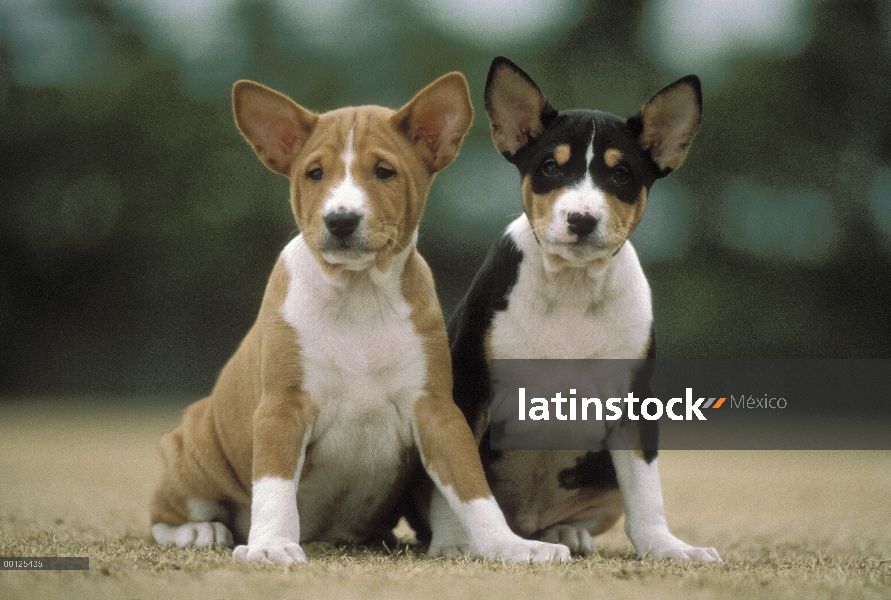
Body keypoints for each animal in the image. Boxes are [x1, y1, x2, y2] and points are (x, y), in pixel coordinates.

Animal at [149, 72, 568, 564]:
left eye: (384, 172)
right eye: (314, 173)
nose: (341, 220)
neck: (358, 298)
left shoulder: (436, 411)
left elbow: (472, 490)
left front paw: (511, 547)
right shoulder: (282, 407)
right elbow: (273, 486)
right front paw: (270, 545)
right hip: (192, 447)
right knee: (163, 513)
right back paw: (199, 531)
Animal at [442, 58, 720, 560]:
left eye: (622, 175)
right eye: (550, 167)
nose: (582, 219)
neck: (570, 287)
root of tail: (528, 519)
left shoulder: (635, 403)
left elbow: (646, 493)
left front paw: (668, 548)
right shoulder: (469, 388)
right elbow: (457, 478)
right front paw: (454, 540)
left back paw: (565, 533)